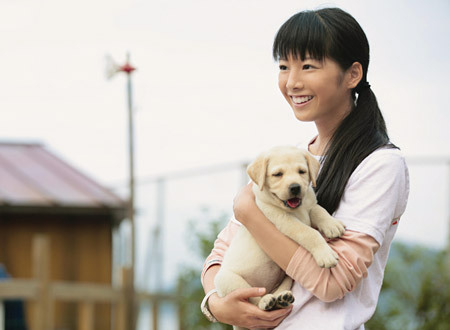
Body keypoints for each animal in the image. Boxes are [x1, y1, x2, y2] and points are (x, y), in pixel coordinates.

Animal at [214, 146, 344, 328]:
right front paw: (325, 254)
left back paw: (281, 299)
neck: (297, 209)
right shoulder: (284, 220)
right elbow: (309, 233)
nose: (295, 187)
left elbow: (319, 210)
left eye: (302, 171)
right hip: (228, 281)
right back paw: (266, 301)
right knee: (253, 299)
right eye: (277, 174)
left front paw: (332, 225)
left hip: (284, 278)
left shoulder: (310, 206)